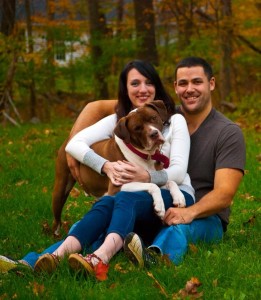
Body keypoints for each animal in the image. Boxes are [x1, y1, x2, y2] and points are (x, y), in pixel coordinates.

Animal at [51, 101, 185, 234]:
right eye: (137, 128)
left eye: (153, 118)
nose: (154, 134)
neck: (145, 155)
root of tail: (67, 140)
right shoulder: (117, 187)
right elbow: (153, 186)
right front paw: (159, 206)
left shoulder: (153, 176)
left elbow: (171, 181)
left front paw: (179, 197)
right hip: (60, 189)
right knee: (57, 216)